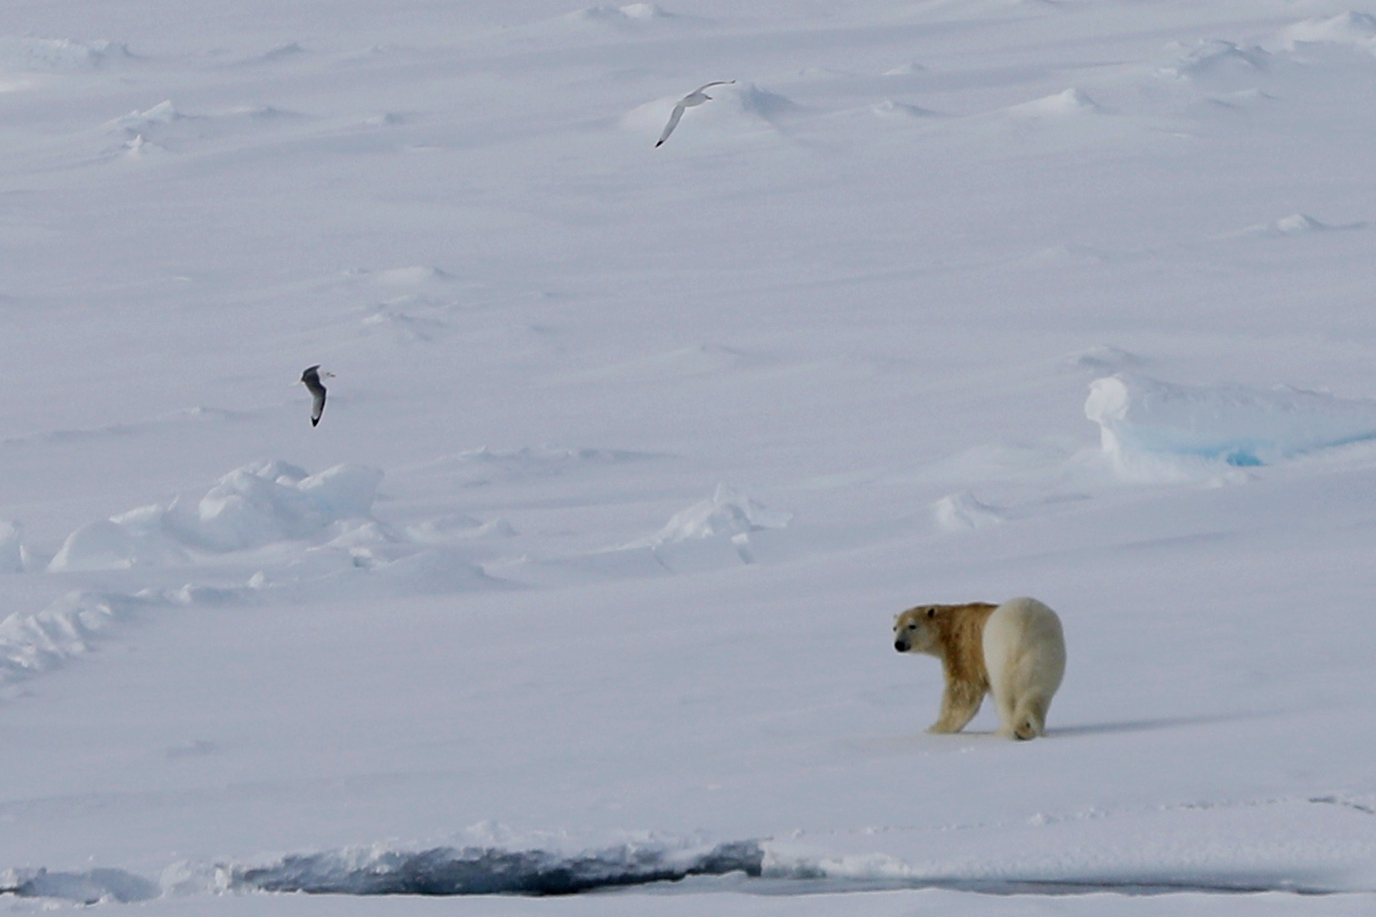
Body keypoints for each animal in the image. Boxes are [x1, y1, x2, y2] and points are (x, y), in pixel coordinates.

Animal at [891, 592, 1062, 738]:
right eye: (894, 627)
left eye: (912, 625)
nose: (898, 644)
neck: (953, 623)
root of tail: (1024, 629)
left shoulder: (965, 645)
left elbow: (963, 689)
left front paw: (935, 728)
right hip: (1046, 656)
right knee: (1038, 694)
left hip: (1000, 656)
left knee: (1005, 695)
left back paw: (1010, 729)